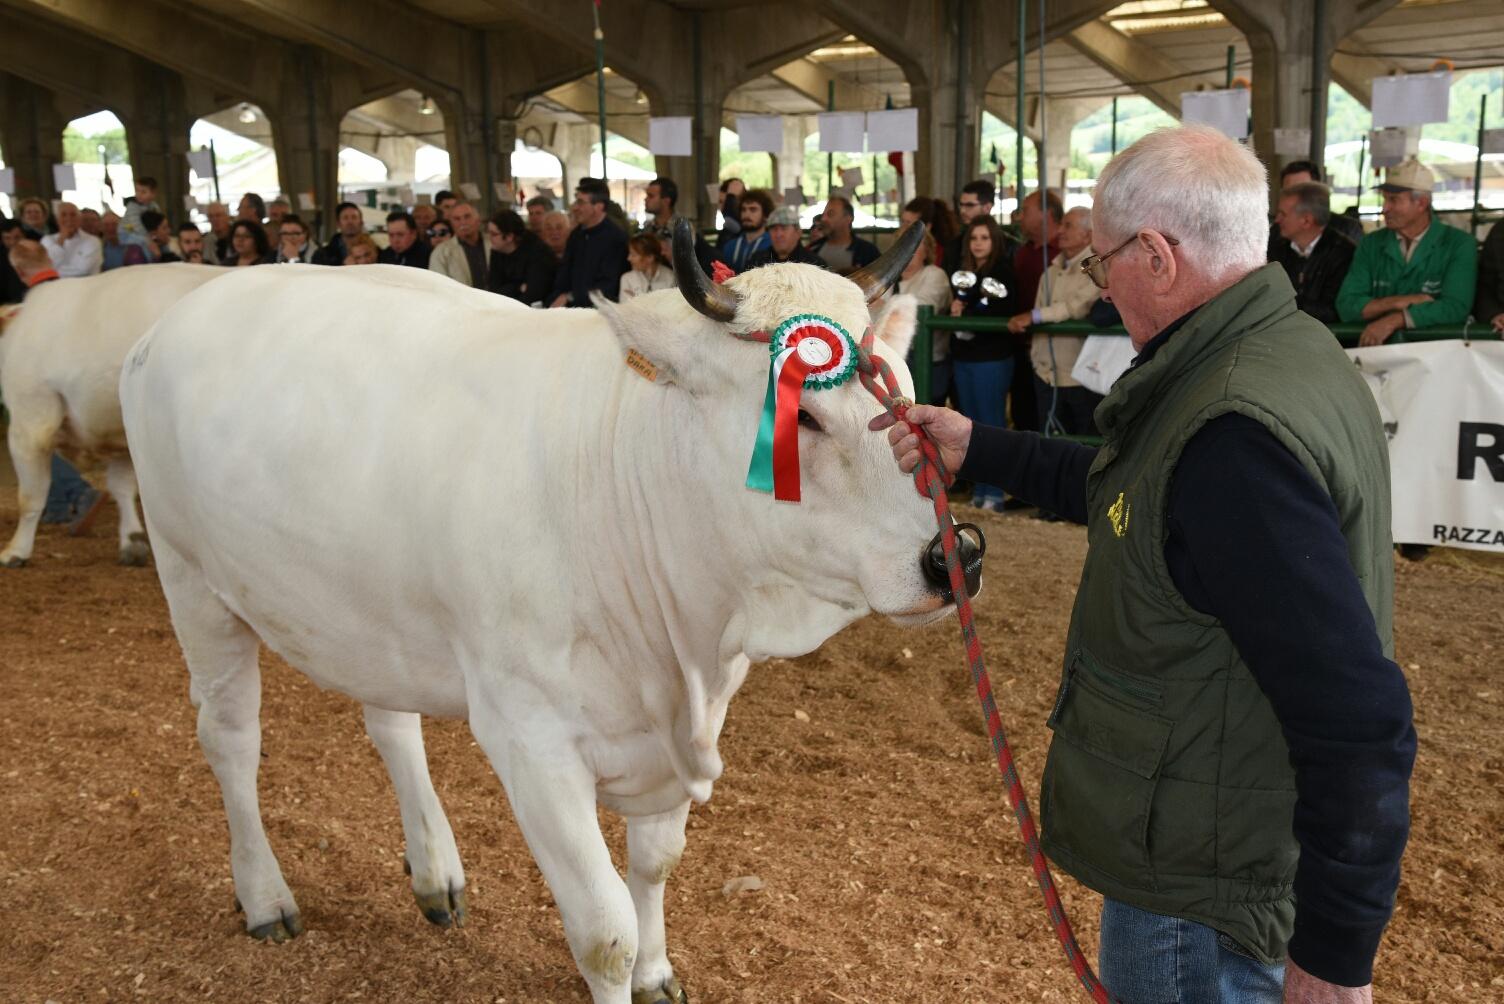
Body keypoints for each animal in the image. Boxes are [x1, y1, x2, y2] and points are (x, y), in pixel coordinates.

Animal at [0, 263, 225, 568]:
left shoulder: (30, 418)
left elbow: (30, 497)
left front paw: (15, 552)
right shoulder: (121, 433)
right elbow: (121, 486)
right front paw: (132, 542)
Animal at [120, 226, 974, 1004]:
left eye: (907, 399)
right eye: (804, 419)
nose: (954, 553)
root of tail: (171, 320)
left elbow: (656, 863)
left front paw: (658, 971)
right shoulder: (529, 738)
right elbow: (603, 933)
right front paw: (630, 961)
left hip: (372, 614)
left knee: (392, 725)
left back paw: (434, 873)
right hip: (191, 579)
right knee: (230, 738)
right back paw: (264, 895)